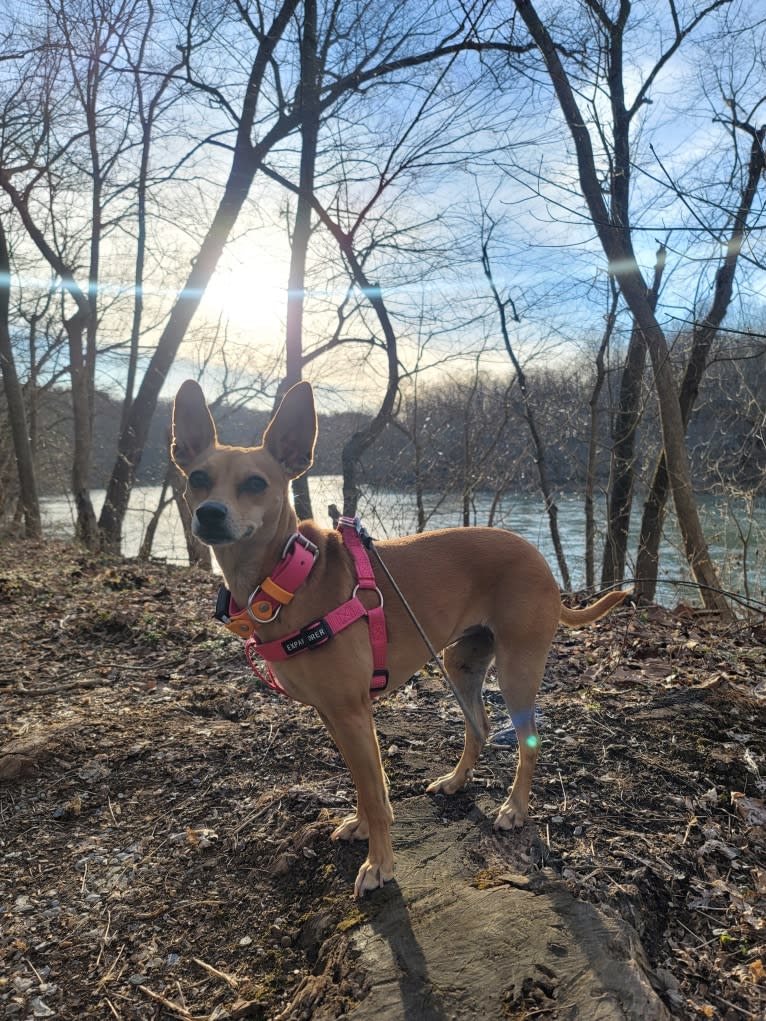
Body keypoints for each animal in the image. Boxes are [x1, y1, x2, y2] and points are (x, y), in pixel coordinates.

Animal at [172, 381, 629, 894]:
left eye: (255, 483)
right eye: (198, 478)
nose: (210, 513)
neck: (290, 578)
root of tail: (540, 559)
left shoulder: (352, 713)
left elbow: (375, 793)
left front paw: (379, 864)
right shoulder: (335, 714)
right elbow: (366, 784)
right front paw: (362, 827)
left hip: (517, 669)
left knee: (529, 741)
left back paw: (513, 809)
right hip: (460, 663)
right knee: (479, 726)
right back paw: (454, 782)